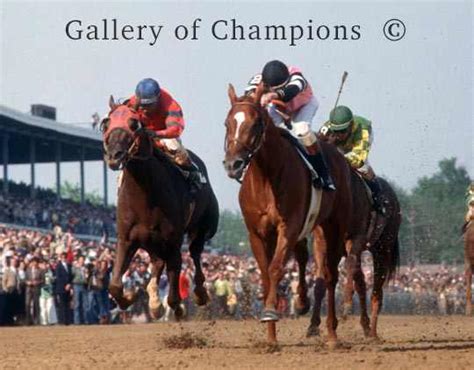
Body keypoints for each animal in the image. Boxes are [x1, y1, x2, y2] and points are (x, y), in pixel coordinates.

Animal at [101, 98, 218, 318]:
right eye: (106, 123)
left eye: (134, 124)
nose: (114, 155)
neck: (145, 196)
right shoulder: (127, 239)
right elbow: (114, 285)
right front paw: (130, 297)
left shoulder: (173, 241)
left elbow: (174, 292)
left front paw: (178, 308)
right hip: (151, 242)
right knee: (158, 263)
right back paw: (154, 302)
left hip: (202, 228)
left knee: (195, 253)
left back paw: (199, 293)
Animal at [223, 84, 352, 344]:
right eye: (227, 123)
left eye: (255, 124)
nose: (233, 164)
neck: (266, 177)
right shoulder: (257, 233)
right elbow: (265, 274)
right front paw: (271, 337)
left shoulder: (288, 226)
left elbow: (275, 268)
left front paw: (271, 313)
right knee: (303, 258)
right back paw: (302, 302)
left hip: (333, 225)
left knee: (330, 275)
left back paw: (332, 333)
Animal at [308, 169, 400, 340]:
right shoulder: (320, 242)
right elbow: (320, 281)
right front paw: (313, 325)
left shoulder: (355, 238)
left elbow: (349, 266)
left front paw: (347, 306)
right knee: (362, 283)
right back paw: (366, 326)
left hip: (383, 248)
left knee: (376, 291)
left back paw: (373, 333)